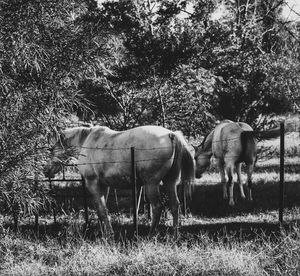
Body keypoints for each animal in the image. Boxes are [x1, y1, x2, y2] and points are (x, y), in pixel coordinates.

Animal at [44, 124, 195, 237]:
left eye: (51, 149)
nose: (46, 170)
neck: (85, 143)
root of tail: (170, 134)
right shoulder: (104, 186)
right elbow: (101, 209)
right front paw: (102, 231)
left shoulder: (93, 183)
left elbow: (102, 210)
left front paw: (109, 233)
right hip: (170, 182)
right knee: (175, 205)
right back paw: (175, 234)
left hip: (151, 184)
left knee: (157, 207)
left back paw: (151, 234)